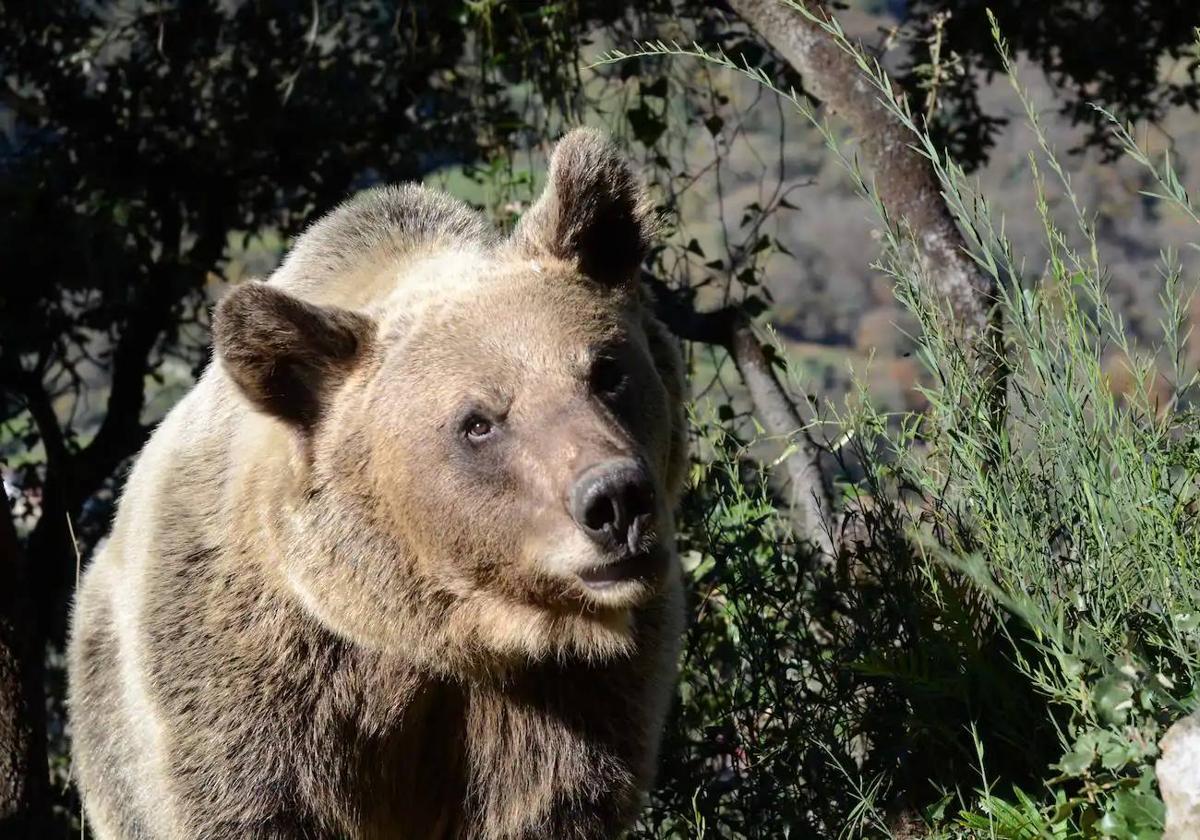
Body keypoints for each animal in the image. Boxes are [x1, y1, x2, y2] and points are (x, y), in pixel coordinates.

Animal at [68, 126, 686, 840]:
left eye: (606, 371)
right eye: (478, 422)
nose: (616, 500)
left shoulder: (570, 699)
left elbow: (551, 800)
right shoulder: (257, 682)